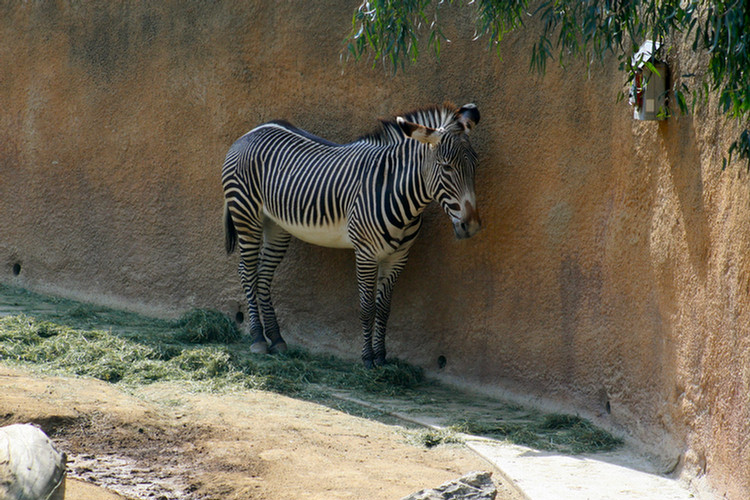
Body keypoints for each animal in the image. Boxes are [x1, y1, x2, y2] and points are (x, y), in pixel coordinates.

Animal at [222, 102, 482, 368]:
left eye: (475, 164)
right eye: (446, 167)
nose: (471, 226)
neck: (395, 191)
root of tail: (252, 132)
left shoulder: (398, 257)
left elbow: (384, 308)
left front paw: (382, 358)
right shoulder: (366, 253)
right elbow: (367, 307)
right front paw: (367, 359)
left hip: (276, 225)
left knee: (263, 275)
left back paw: (276, 338)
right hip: (246, 214)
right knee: (247, 272)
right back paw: (257, 338)